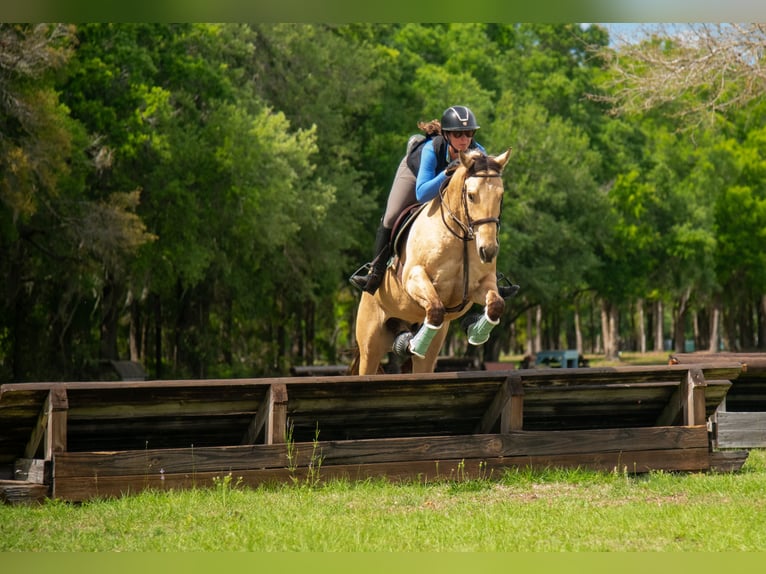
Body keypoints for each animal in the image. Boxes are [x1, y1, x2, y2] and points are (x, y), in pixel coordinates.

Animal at [352, 147, 512, 375]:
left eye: (501, 196)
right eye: (471, 196)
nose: (488, 251)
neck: (461, 237)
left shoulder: (481, 284)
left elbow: (496, 304)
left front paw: (475, 332)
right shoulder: (414, 278)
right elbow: (435, 308)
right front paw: (416, 344)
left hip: (429, 349)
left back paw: (405, 340)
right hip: (370, 344)